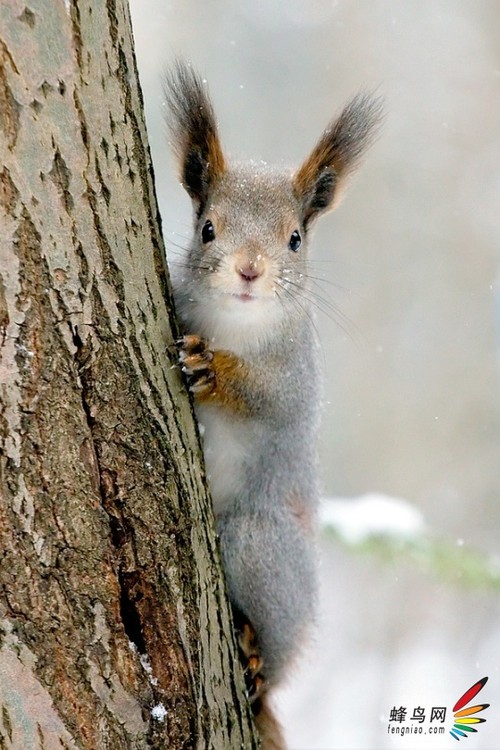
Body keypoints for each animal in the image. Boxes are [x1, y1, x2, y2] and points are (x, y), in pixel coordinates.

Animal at [165, 61, 382, 748]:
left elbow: (267, 398)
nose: (248, 270)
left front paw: (213, 368)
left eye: (293, 239)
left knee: (277, 655)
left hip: (260, 544)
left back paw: (257, 651)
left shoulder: (297, 378)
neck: (234, 324)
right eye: (208, 227)